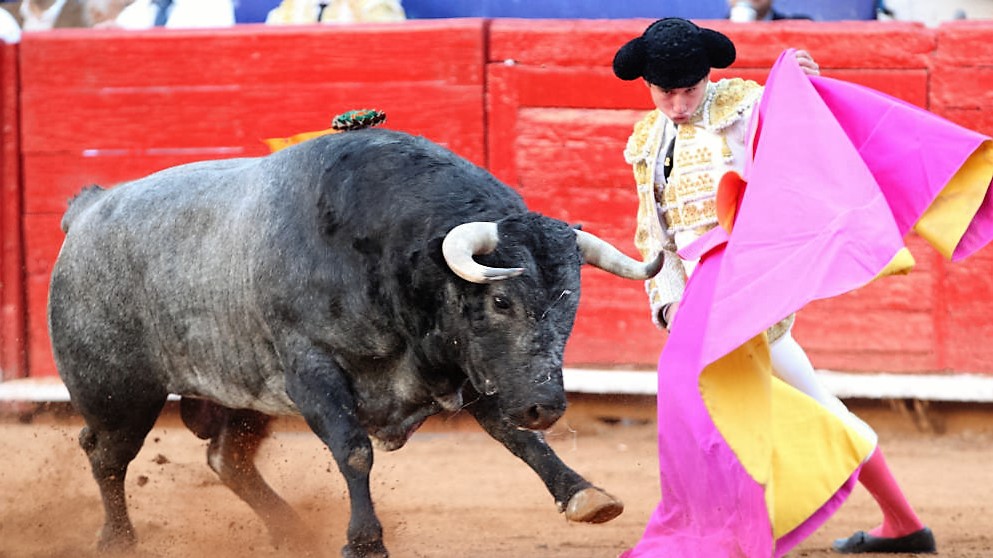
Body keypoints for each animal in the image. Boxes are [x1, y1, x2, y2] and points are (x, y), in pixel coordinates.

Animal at [50, 129, 664, 556]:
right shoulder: (313, 369)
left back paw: (293, 531)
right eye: (500, 302)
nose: (547, 407)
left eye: (570, 303)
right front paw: (365, 540)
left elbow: (517, 437)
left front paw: (585, 495)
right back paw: (118, 540)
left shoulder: (472, 369)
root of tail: (88, 210)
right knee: (106, 455)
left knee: (226, 458)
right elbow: (353, 449)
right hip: (119, 393)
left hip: (241, 394)